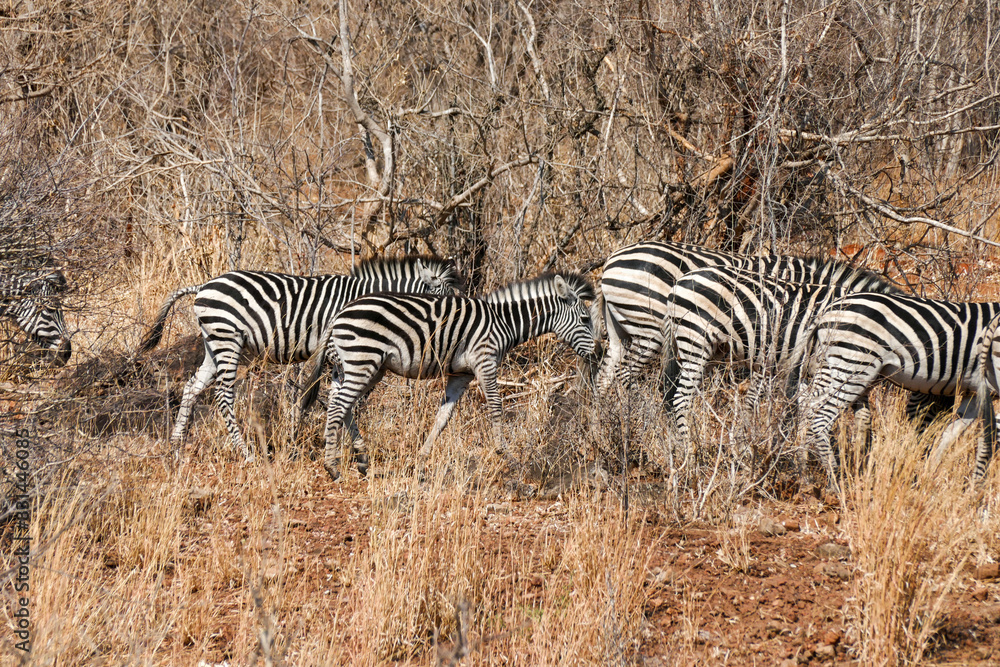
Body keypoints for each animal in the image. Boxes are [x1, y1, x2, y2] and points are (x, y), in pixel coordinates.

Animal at [137, 256, 462, 460]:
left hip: (213, 342)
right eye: (444, 305)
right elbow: (330, 396)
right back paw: (245, 452)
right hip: (227, 340)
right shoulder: (337, 350)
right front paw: (313, 438)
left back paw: (177, 445)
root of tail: (203, 285)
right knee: (222, 394)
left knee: (192, 386)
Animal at [299, 273, 597, 481]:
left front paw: (421, 456)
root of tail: (340, 313)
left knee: (340, 403)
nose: (598, 352)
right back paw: (333, 467)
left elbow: (443, 416)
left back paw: (360, 459)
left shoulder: (461, 374)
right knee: (339, 406)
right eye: (585, 319)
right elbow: (496, 407)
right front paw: (506, 454)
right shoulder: (485, 361)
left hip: (361, 366)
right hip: (363, 360)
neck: (504, 321)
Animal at [659, 261, 899, 445]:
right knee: (681, 399)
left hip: (710, 350)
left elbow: (861, 418)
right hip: (696, 340)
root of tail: (680, 282)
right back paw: (689, 449)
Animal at [791, 294, 1000, 487]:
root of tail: (826, 312)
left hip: (831, 365)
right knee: (819, 417)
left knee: (806, 405)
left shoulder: (974, 393)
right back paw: (835, 480)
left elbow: (952, 433)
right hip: (854, 365)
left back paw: (804, 471)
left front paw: (927, 476)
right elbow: (990, 436)